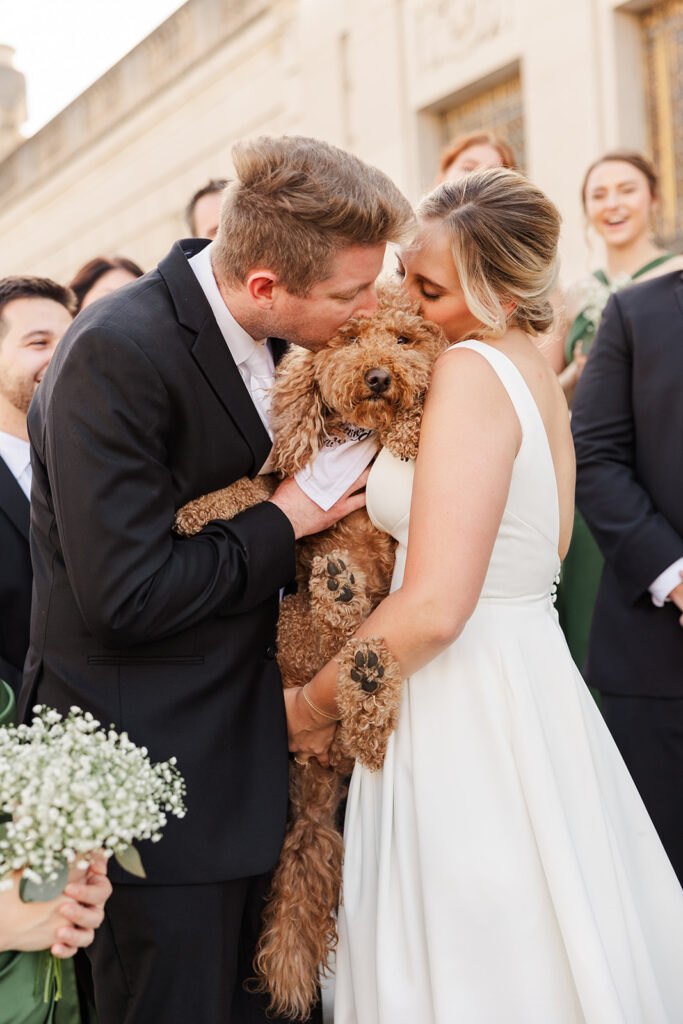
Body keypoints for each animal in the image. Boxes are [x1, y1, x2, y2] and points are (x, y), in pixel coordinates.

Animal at [174, 280, 446, 1015]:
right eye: (348, 337)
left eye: (404, 339)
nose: (378, 376)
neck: (358, 438)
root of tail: (315, 770)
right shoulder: (288, 492)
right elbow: (257, 489)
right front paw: (194, 507)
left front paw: (409, 428)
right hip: (291, 625)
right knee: (331, 634)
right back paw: (341, 599)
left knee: (362, 705)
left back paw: (365, 665)